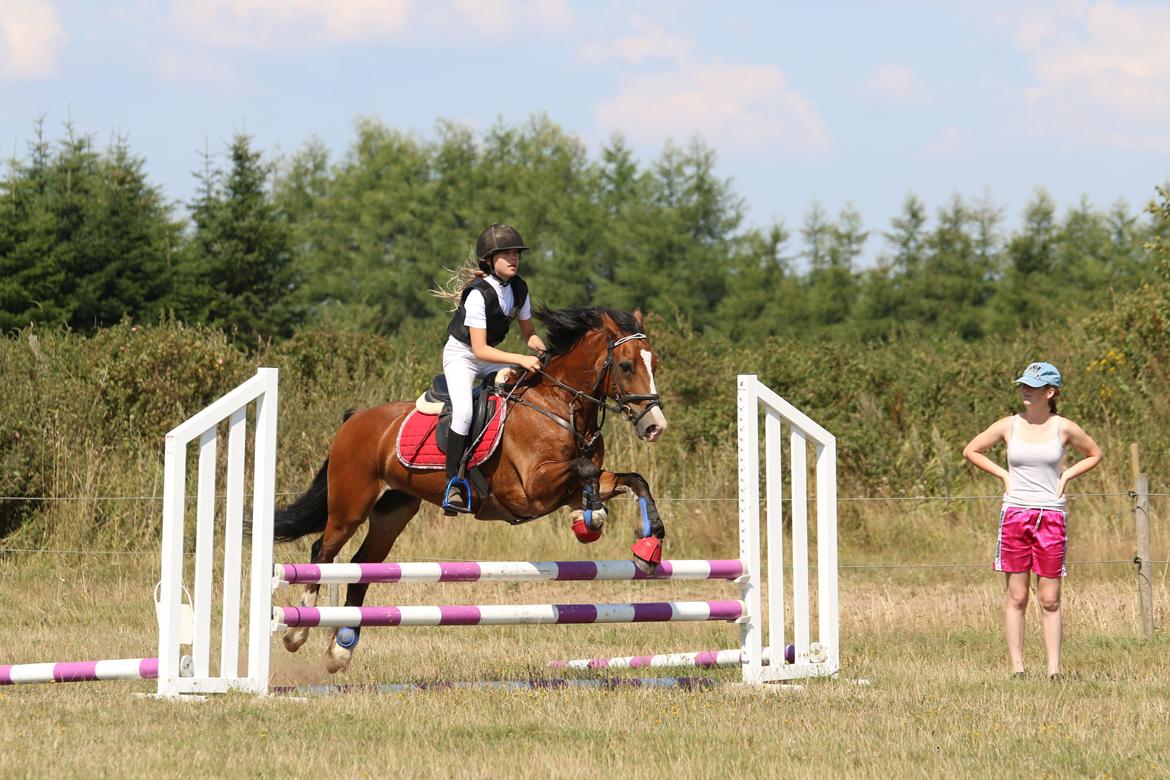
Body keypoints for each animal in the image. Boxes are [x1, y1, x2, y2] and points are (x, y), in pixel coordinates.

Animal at [272, 304, 669, 673]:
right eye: (626, 366)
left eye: (655, 362)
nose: (655, 427)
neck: (561, 406)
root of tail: (353, 419)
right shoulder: (531, 489)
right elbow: (585, 469)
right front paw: (593, 518)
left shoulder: (566, 488)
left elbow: (633, 479)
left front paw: (646, 546)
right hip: (350, 505)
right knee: (322, 551)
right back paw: (296, 632)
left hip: (395, 511)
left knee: (361, 565)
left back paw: (341, 649)